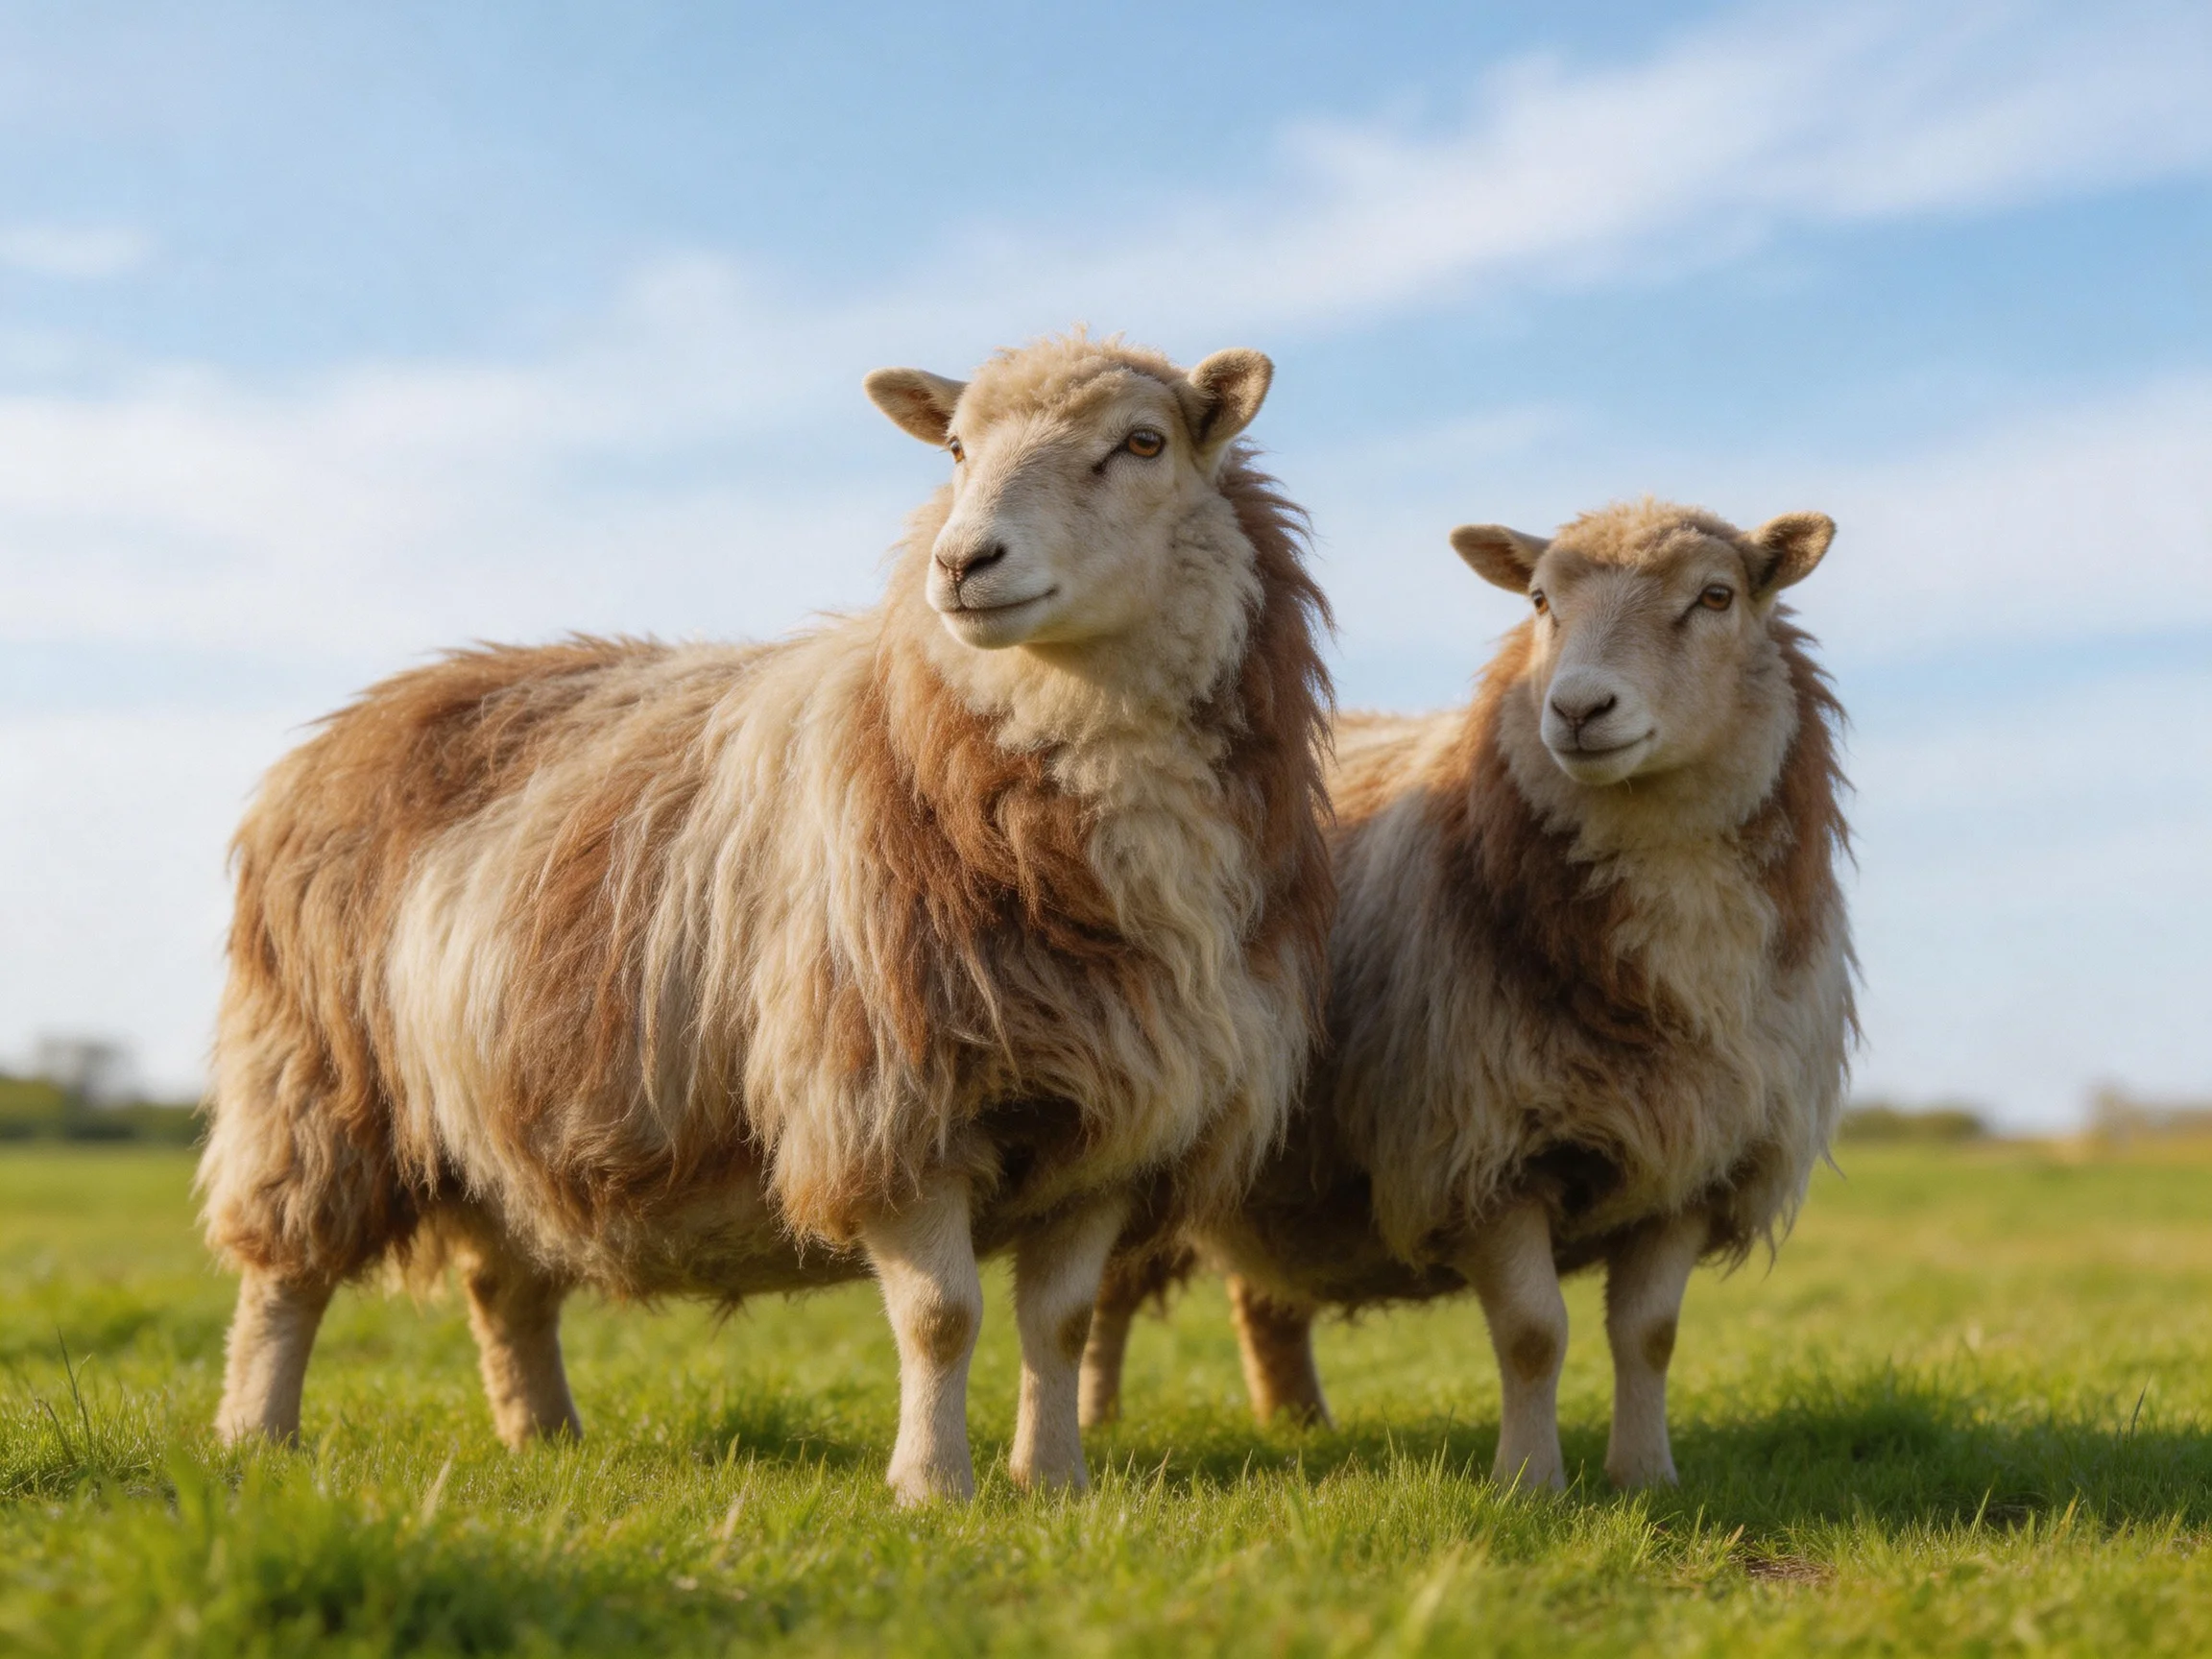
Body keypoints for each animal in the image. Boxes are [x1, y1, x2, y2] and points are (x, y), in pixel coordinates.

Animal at [196, 332, 1334, 1504]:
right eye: (956, 450)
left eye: (1142, 443)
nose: (961, 564)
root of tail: (352, 719)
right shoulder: (887, 1093)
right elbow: (941, 1316)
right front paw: (933, 1488)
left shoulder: (1121, 1118)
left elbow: (1057, 1325)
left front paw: (1054, 1483)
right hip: (315, 1074)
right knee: (284, 1275)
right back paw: (256, 1435)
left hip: (497, 1107)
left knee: (505, 1283)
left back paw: (543, 1436)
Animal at [1081, 499, 1853, 1491]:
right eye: (1540, 601)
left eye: (1716, 596)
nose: (1578, 709)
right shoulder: (1478, 1148)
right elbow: (1532, 1335)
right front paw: (1530, 1485)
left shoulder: (1692, 1159)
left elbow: (1650, 1336)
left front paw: (1646, 1479)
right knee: (1104, 1296)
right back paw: (1094, 1426)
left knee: (1262, 1299)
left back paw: (1300, 1427)